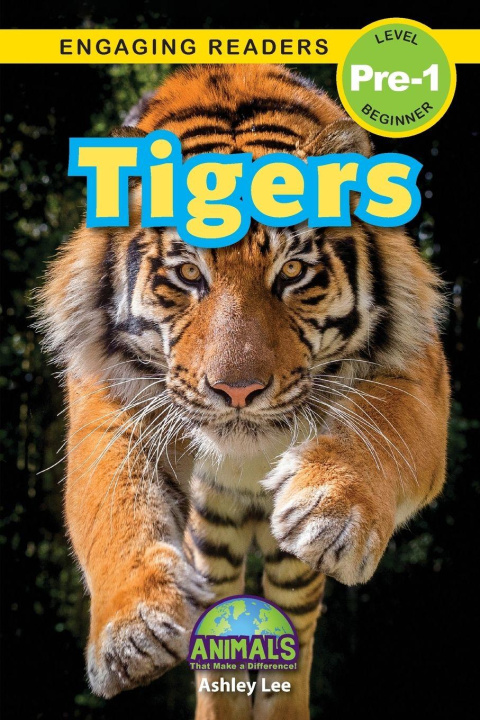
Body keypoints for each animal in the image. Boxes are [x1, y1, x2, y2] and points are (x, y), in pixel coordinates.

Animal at [37, 64, 450, 720]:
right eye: (187, 274)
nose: (237, 390)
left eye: (293, 272)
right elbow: (110, 503)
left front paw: (334, 504)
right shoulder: (103, 395)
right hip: (213, 537)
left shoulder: (420, 371)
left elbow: (390, 429)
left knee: (295, 628)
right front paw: (133, 631)